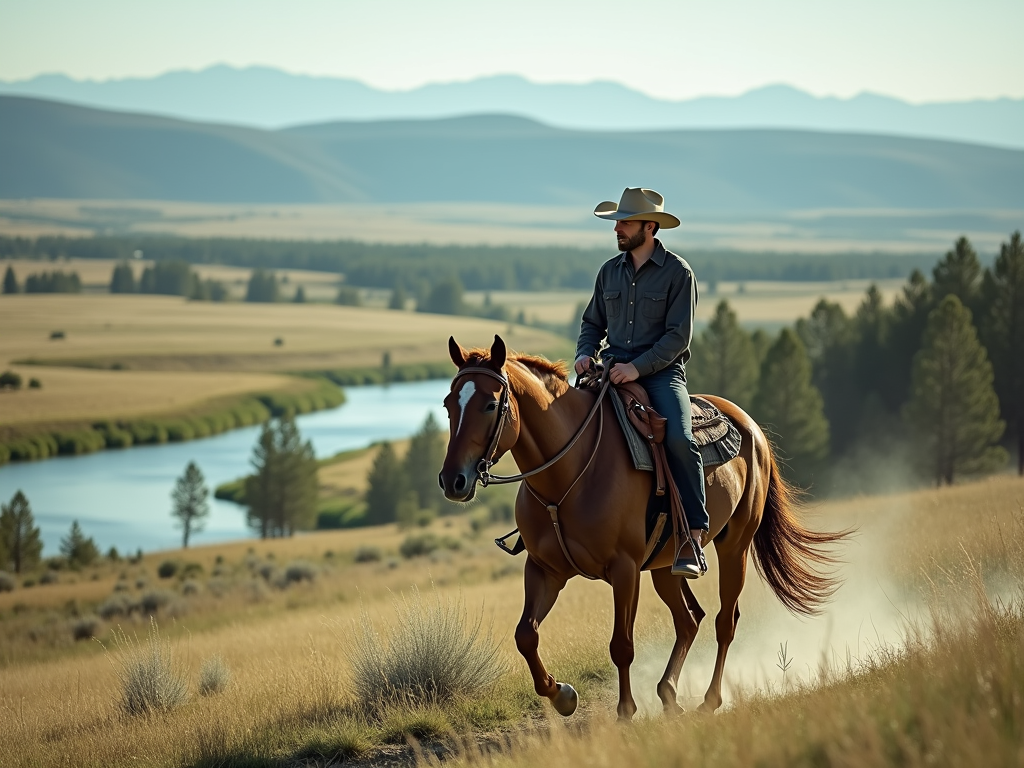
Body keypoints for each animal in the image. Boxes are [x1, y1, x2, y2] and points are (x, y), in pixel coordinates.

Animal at [440, 335, 847, 720]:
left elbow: (621, 644)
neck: (568, 476)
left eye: (490, 405)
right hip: (667, 566)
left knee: (724, 621)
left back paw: (709, 700)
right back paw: (668, 693)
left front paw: (625, 711)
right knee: (689, 620)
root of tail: (751, 427)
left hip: (735, 547)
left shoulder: (625, 569)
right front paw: (563, 695)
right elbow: (526, 635)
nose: (452, 481)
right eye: (447, 405)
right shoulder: (545, 569)